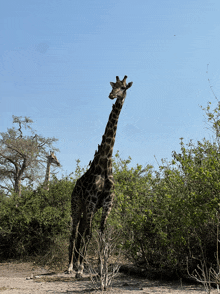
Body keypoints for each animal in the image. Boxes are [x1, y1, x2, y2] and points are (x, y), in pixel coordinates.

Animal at [67, 75, 132, 276]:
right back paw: (70, 266)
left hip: (89, 208)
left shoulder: (106, 202)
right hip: (76, 203)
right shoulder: (91, 200)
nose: (112, 95)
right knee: (74, 231)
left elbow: (101, 232)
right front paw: (81, 268)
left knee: (81, 230)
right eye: (113, 86)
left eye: (123, 87)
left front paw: (101, 268)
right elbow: (89, 233)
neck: (104, 164)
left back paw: (77, 264)